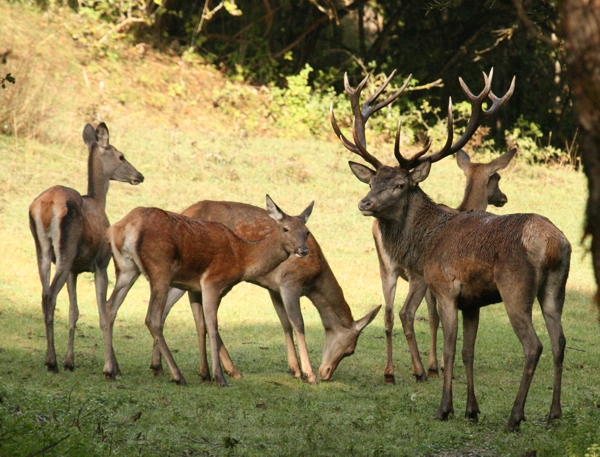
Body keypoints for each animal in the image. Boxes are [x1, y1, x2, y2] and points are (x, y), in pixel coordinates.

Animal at [28, 123, 145, 372]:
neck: (98, 201)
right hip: (66, 248)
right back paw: (51, 361)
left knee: (44, 293)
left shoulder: (75, 269)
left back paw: (53, 359)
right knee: (50, 295)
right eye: (121, 156)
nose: (139, 175)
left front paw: (70, 361)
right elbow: (103, 312)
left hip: (42, 249)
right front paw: (111, 367)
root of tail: (46, 206)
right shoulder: (101, 263)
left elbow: (74, 312)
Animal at [102, 195, 314, 384]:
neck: (242, 258)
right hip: (160, 269)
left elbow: (201, 325)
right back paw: (177, 375)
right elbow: (212, 325)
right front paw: (219, 376)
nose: (303, 250)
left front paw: (205, 374)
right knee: (152, 318)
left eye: (306, 232)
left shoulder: (194, 288)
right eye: (286, 228)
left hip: (126, 268)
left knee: (110, 307)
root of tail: (123, 228)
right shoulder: (213, 281)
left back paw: (110, 370)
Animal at [149, 201, 380, 382]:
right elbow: (298, 323)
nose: (326, 373)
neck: (314, 279)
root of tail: (185, 210)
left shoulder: (273, 288)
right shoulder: (289, 283)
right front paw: (308, 373)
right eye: (350, 351)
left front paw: (295, 369)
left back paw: (160, 366)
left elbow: (284, 322)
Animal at [332, 69, 572, 430]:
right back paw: (553, 413)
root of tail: (553, 243)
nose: (365, 203)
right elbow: (467, 352)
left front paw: (444, 407)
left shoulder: (445, 288)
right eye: (372, 182)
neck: (426, 242)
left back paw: (515, 416)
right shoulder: (472, 302)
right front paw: (472, 410)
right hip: (556, 287)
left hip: (515, 286)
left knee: (534, 345)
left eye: (400, 185)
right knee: (559, 341)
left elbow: (448, 347)